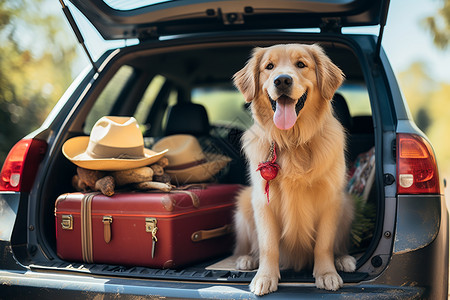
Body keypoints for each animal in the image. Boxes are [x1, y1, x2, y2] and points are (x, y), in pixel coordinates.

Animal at [232, 44, 356, 296]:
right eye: (269, 66)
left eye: (301, 64)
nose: (282, 80)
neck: (292, 141)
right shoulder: (263, 200)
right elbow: (268, 245)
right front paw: (265, 277)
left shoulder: (330, 199)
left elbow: (324, 244)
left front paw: (326, 274)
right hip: (243, 202)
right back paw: (247, 259)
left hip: (347, 204)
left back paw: (343, 259)